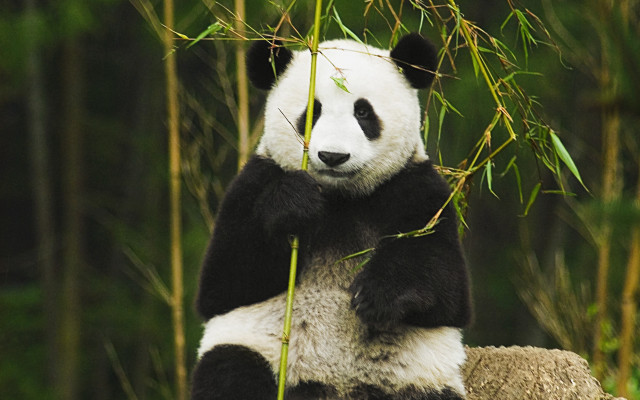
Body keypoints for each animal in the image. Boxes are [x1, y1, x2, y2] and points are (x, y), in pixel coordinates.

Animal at [191, 33, 472, 400]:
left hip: (418, 379)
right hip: (258, 350)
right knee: (229, 371)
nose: (333, 156)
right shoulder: (252, 181)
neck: (341, 197)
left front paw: (376, 295)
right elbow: (224, 281)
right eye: (313, 112)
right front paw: (294, 202)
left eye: (363, 112)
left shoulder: (416, 188)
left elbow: (444, 281)